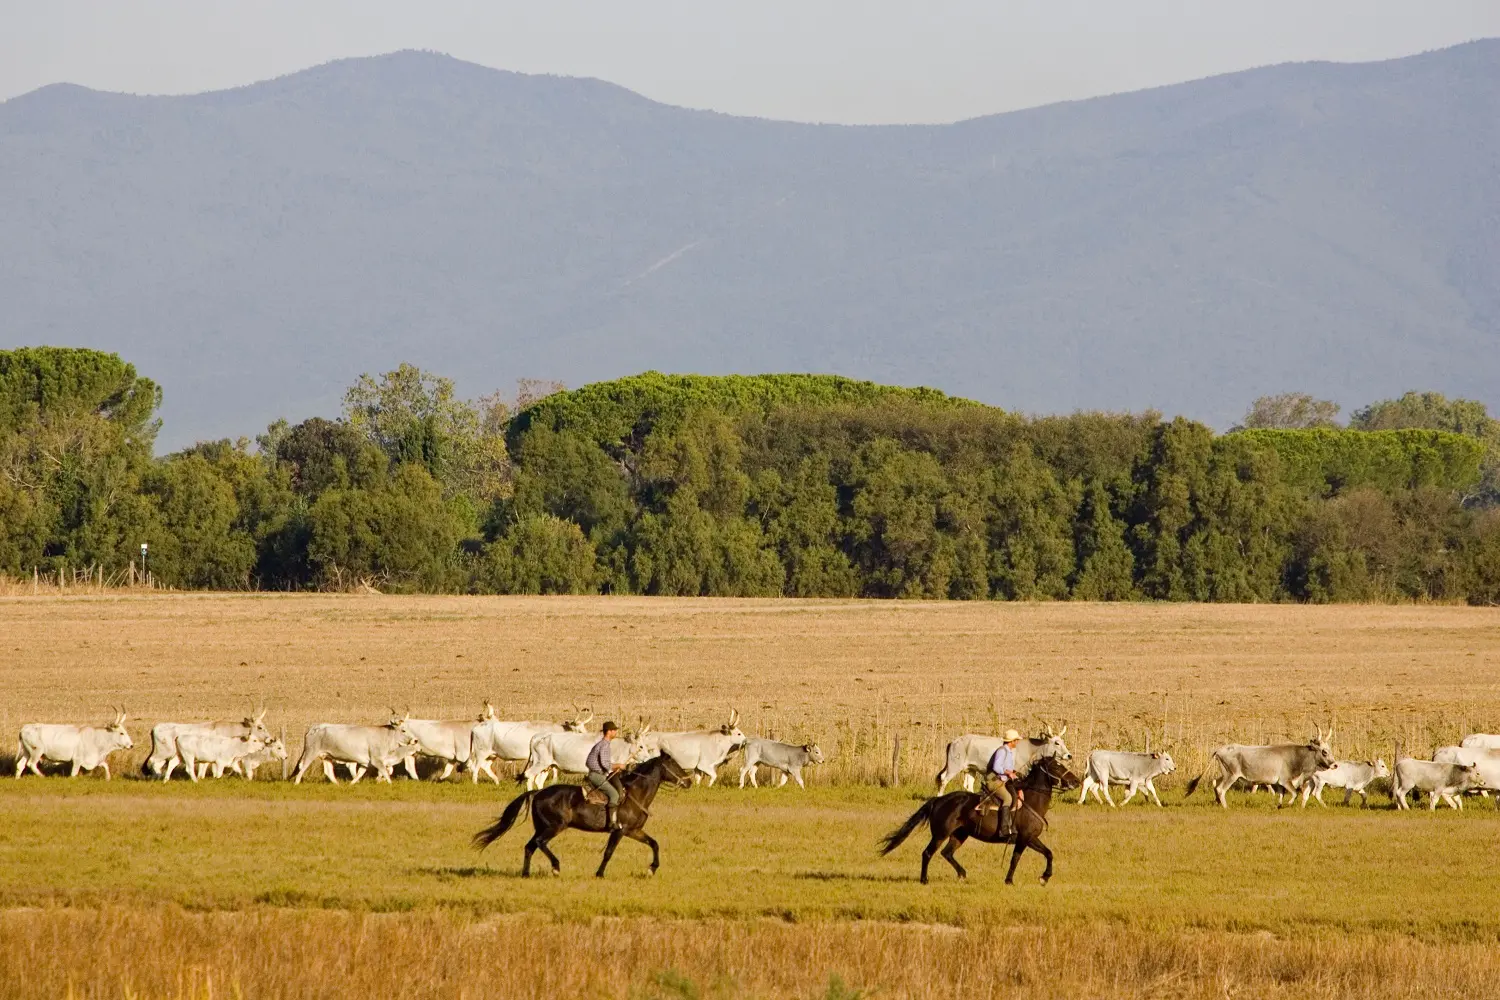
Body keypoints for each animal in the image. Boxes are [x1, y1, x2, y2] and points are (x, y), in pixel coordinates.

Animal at [468, 758, 690, 875]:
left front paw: (652, 869)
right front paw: (599, 873)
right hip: (553, 827)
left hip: (542, 827)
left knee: (530, 846)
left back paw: (526, 873)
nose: (688, 781)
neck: (634, 793)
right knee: (539, 843)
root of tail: (538, 793)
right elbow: (608, 852)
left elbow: (654, 843)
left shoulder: (633, 831)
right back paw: (556, 867)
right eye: (674, 765)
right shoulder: (619, 831)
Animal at [876, 755, 1080, 887]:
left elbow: (1049, 853)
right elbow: (1015, 859)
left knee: (947, 853)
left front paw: (1044, 877)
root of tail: (939, 800)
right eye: (1057, 766)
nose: (1076, 781)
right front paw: (1009, 880)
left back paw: (962, 874)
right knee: (928, 853)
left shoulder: (1031, 839)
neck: (1031, 800)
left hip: (960, 834)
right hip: (940, 834)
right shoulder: (1024, 838)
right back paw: (924, 880)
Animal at [1182, 731, 1338, 809]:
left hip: (1225, 774)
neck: (1295, 756)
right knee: (1221, 789)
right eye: (1324, 752)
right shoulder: (1285, 780)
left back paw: (1218, 802)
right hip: (1231, 775)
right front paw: (1287, 805)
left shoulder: (1278, 783)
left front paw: (1279, 806)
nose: (1335, 765)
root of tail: (1219, 750)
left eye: (1329, 749)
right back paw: (1226, 807)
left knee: (1215, 784)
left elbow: (1281, 795)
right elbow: (1294, 793)